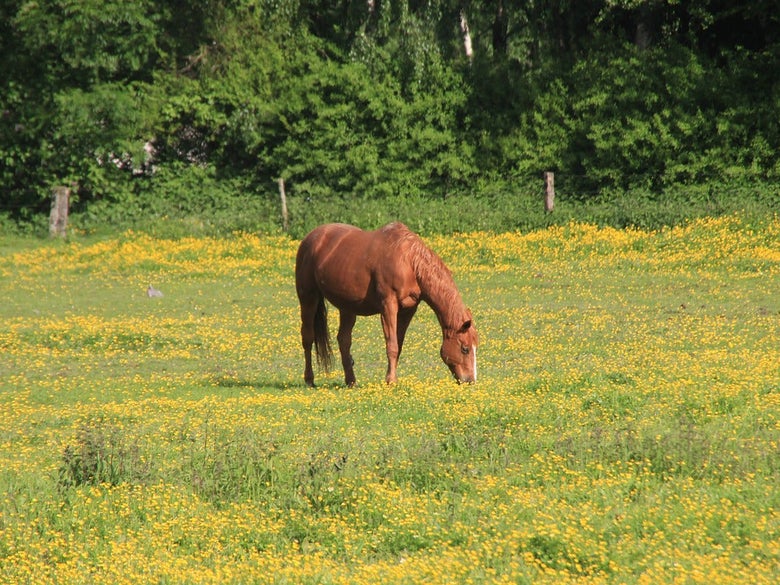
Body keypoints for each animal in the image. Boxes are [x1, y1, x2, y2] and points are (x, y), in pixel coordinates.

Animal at [295, 222, 478, 386]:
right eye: (465, 348)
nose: (470, 380)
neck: (409, 261)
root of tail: (310, 238)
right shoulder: (388, 307)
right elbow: (392, 346)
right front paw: (391, 381)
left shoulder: (408, 310)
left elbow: (399, 345)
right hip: (308, 298)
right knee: (308, 337)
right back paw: (309, 380)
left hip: (347, 306)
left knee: (344, 340)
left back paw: (351, 381)